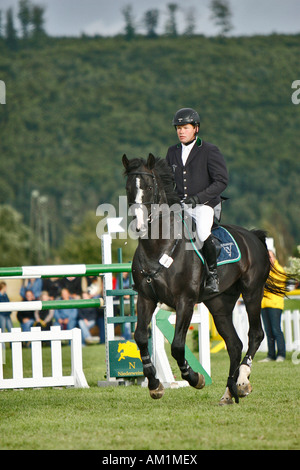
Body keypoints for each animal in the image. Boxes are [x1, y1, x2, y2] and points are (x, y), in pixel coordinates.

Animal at [123, 153, 286, 404]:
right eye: (128, 188)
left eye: (149, 187)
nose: (139, 226)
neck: (158, 246)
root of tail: (253, 236)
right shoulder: (145, 298)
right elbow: (140, 337)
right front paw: (154, 384)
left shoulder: (185, 301)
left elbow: (177, 345)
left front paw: (194, 377)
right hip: (219, 303)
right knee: (234, 344)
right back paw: (229, 392)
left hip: (252, 293)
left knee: (255, 335)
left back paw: (242, 382)